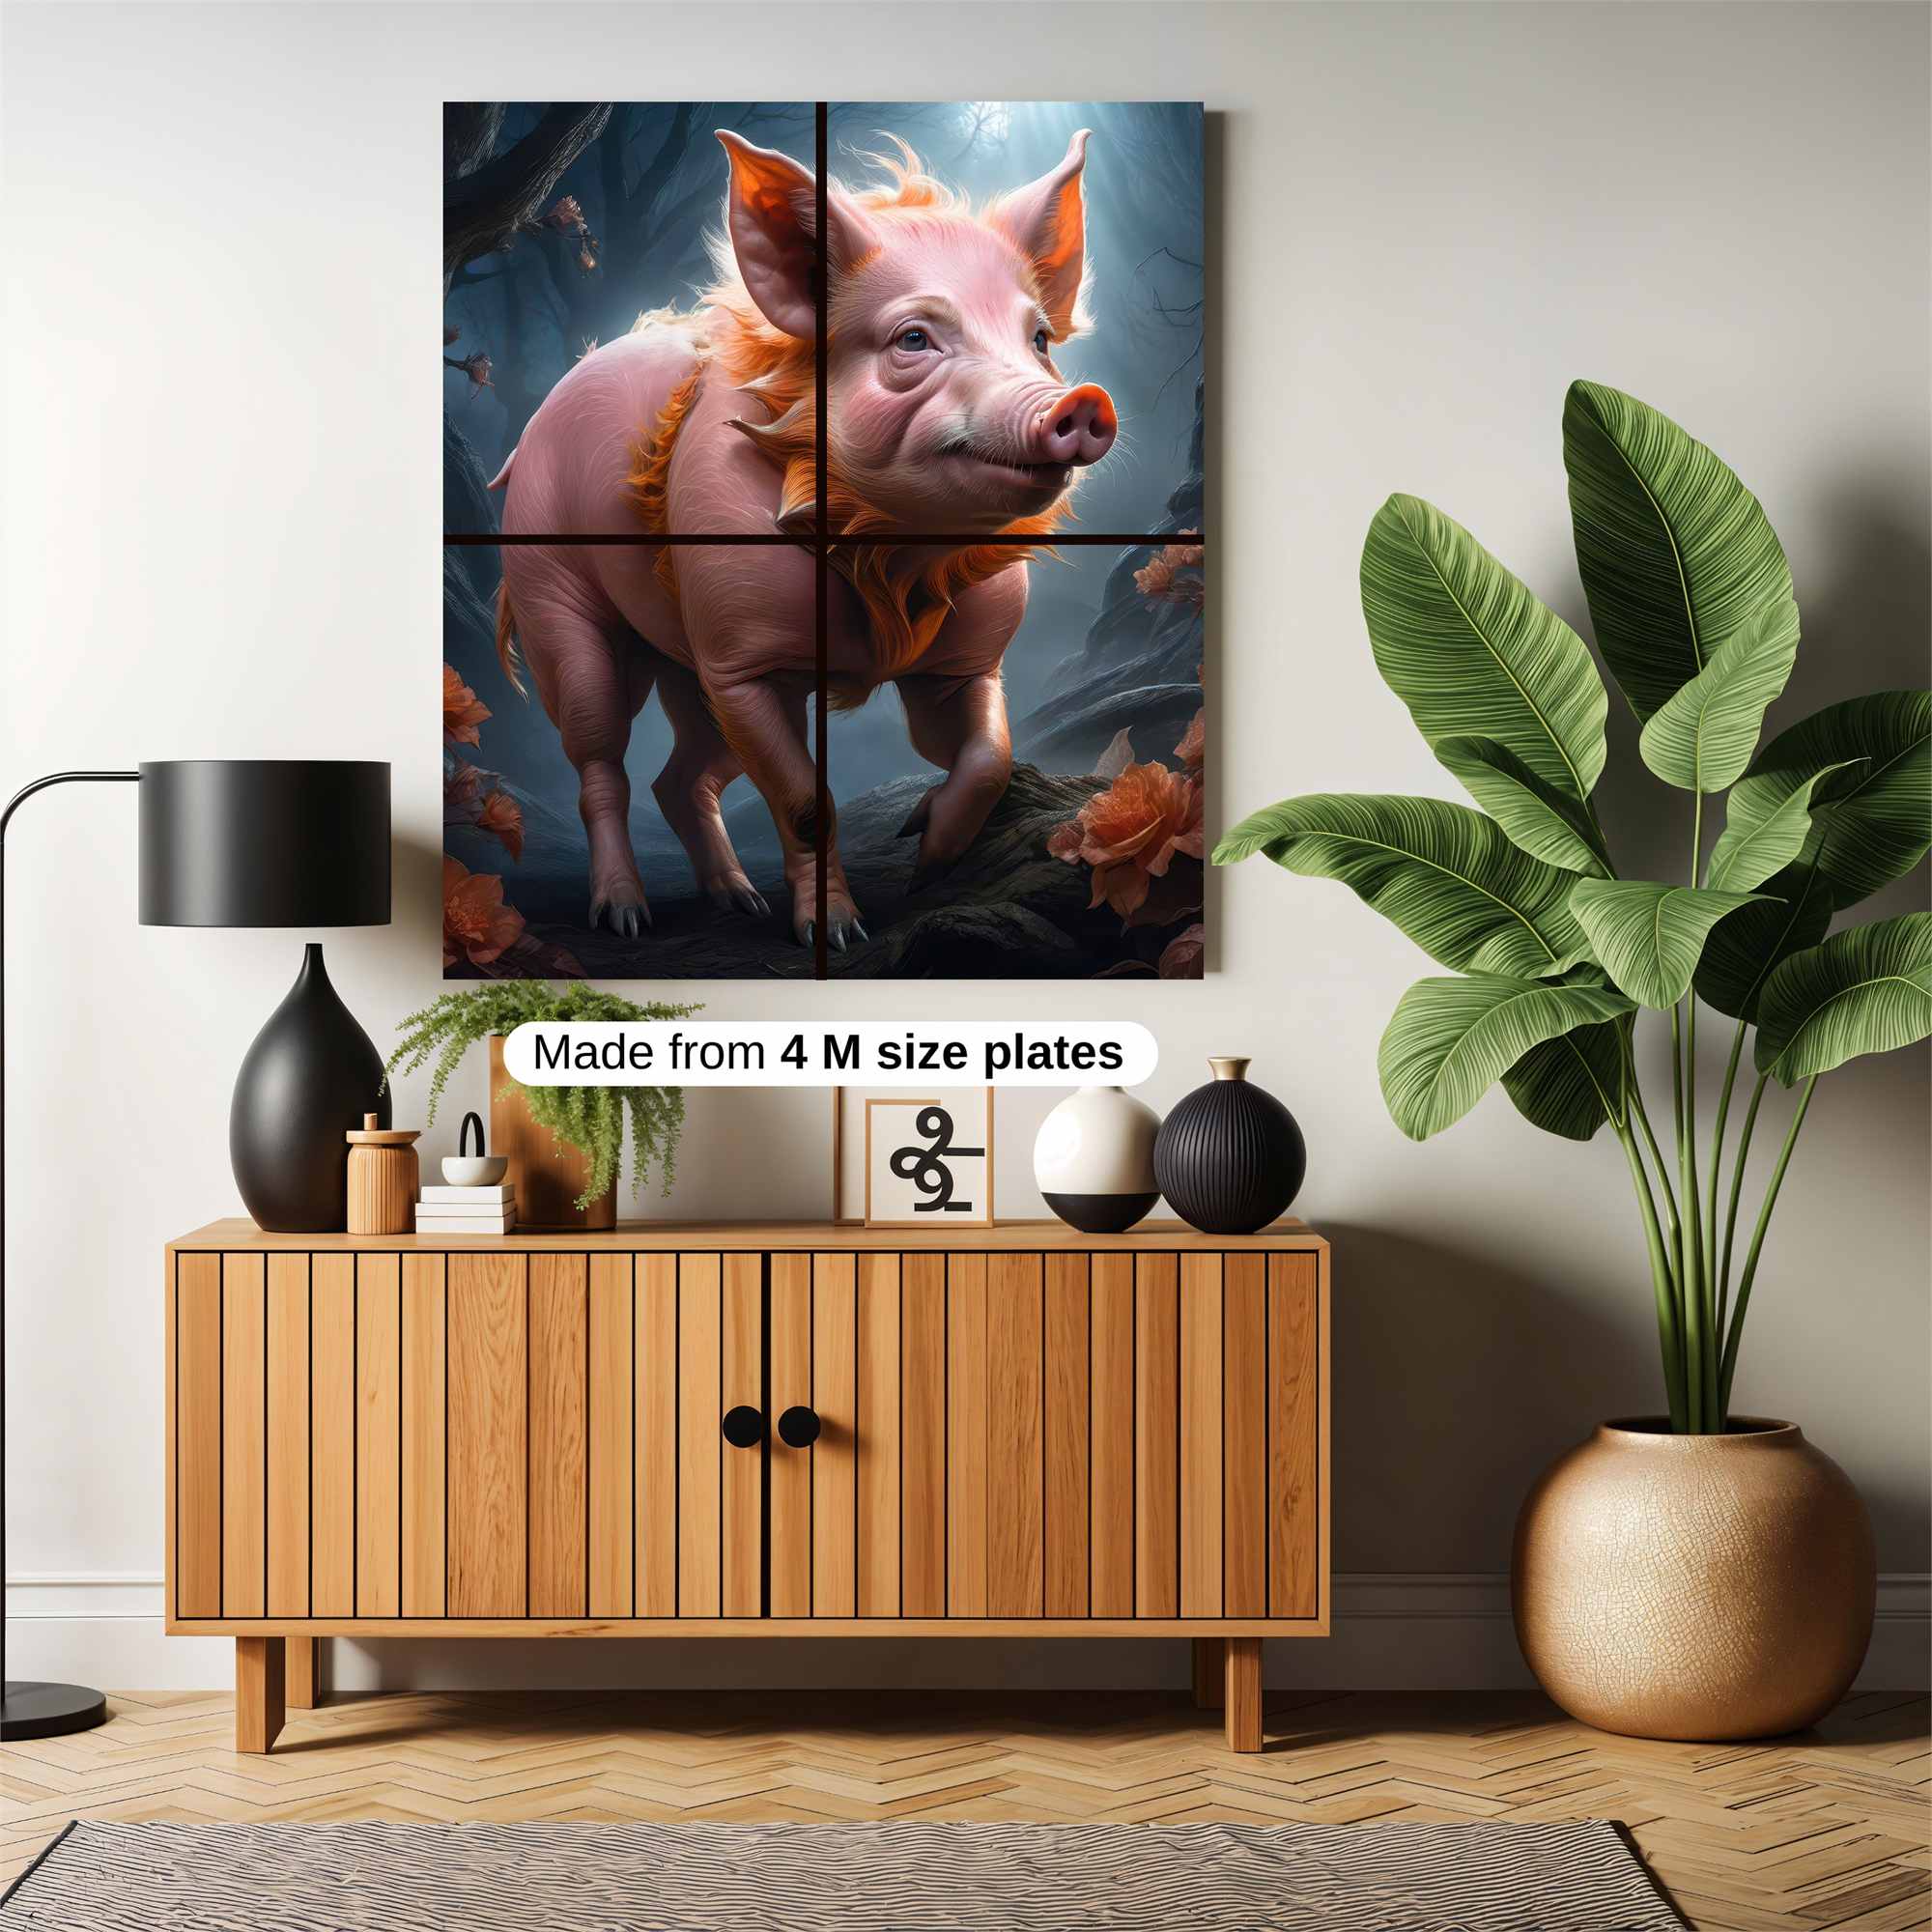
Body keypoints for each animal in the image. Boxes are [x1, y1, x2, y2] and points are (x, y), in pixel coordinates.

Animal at [490, 129, 1117, 948]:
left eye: (1039, 337)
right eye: (913, 338)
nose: (1084, 400)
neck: (891, 558)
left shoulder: (963, 662)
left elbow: (988, 757)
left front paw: (925, 859)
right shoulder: (746, 662)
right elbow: (803, 803)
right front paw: (840, 937)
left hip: (690, 661)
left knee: (682, 777)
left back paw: (739, 903)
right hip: (551, 590)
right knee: (601, 762)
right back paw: (626, 919)